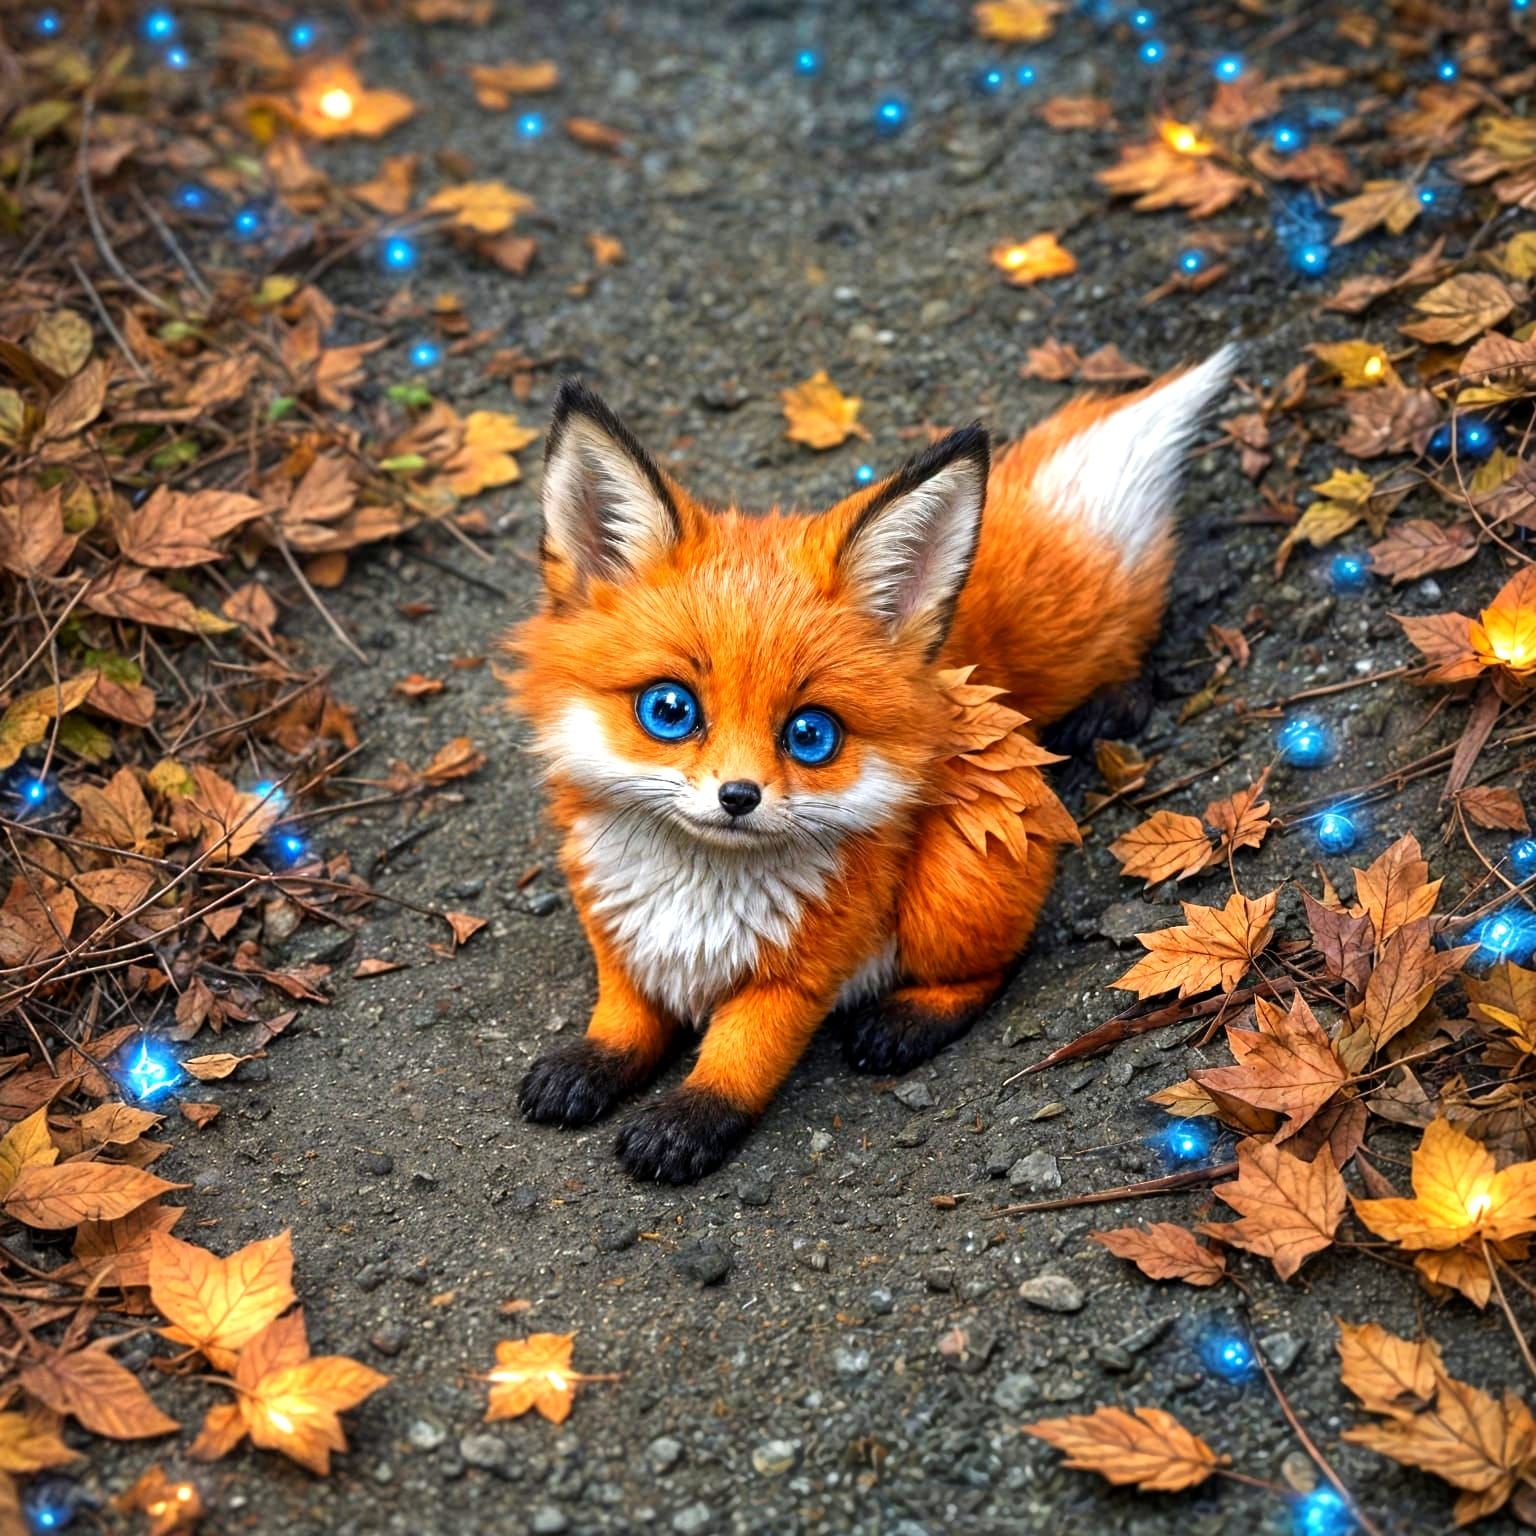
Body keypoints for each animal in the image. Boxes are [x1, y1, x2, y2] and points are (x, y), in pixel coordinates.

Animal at [508, 348, 1237, 1183]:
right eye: (669, 709)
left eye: (810, 734)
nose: (737, 796)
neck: (695, 902)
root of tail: (967, 677)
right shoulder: (620, 933)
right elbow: (625, 1016)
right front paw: (595, 1061)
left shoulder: (803, 971)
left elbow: (741, 1055)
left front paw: (689, 1119)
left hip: (954, 887)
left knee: (997, 965)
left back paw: (910, 1018)